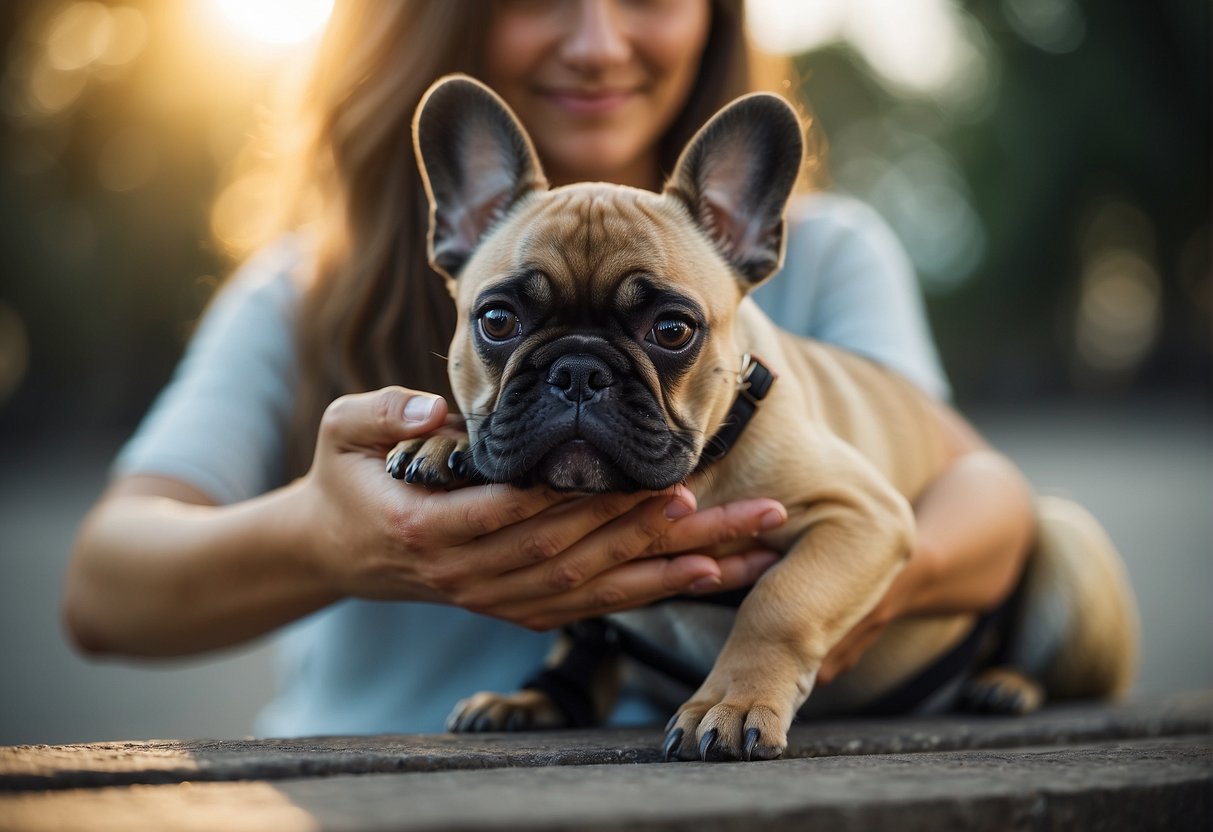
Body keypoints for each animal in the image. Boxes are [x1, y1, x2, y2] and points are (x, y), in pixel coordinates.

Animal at [390, 76, 1135, 761]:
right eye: (496, 320)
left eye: (672, 329)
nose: (578, 371)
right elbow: (581, 642)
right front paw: (444, 443)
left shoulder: (863, 515)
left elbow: (777, 601)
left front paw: (732, 702)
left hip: (1063, 538)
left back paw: (1006, 683)